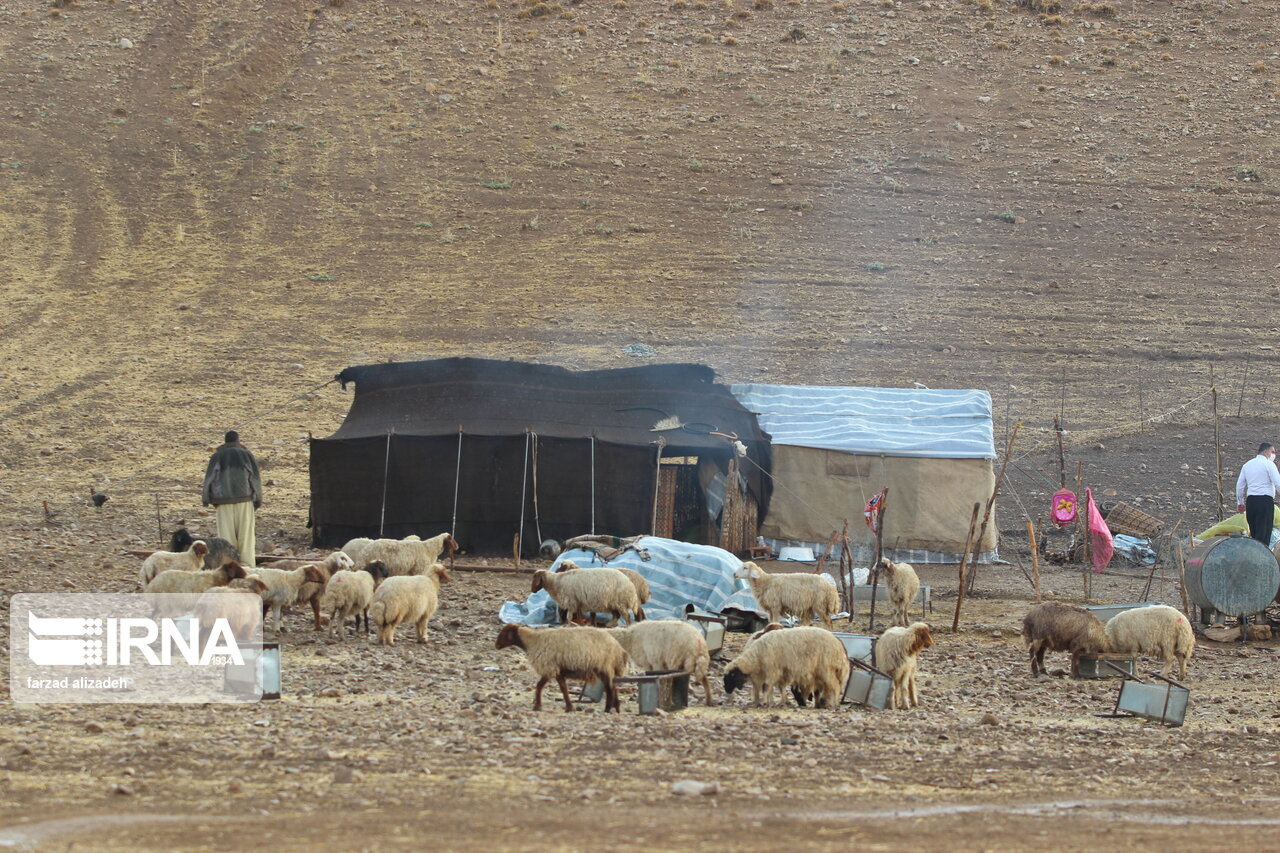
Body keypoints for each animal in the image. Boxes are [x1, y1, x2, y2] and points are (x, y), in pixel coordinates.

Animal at [494, 617, 629, 712]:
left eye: (504, 632)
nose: (496, 645)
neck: (532, 641)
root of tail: (619, 649)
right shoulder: (559, 671)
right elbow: (563, 689)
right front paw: (569, 707)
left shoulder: (549, 668)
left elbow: (539, 686)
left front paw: (537, 706)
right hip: (606, 668)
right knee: (613, 686)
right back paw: (616, 708)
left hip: (604, 666)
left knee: (609, 688)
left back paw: (607, 709)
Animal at [721, 622, 849, 706]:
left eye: (729, 678)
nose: (727, 691)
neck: (757, 656)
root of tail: (839, 644)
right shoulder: (777, 673)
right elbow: (775, 688)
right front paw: (776, 702)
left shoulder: (772, 671)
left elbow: (766, 687)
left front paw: (764, 702)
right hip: (819, 672)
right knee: (824, 688)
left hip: (827, 669)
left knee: (835, 686)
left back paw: (835, 705)